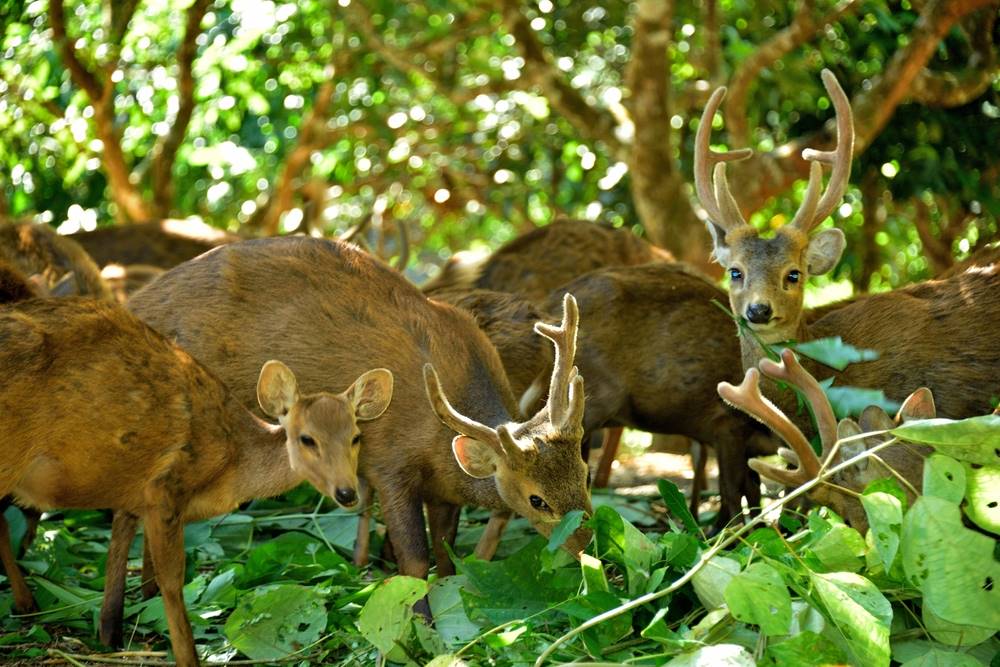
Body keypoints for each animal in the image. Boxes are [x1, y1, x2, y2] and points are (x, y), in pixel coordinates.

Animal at [1, 298, 396, 667]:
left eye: (356, 437)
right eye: (307, 439)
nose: (347, 492)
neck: (229, 466)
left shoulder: (133, 492)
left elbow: (120, 547)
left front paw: (109, 631)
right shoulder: (163, 487)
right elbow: (171, 579)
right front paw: (186, 655)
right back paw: (25, 601)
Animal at [125, 236, 592, 588]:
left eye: (585, 475)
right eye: (536, 499)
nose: (589, 544)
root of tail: (135, 303)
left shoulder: (440, 485)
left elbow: (446, 555)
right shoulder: (390, 463)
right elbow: (414, 561)